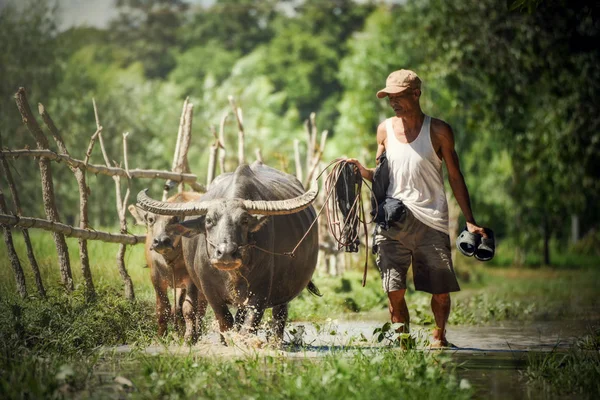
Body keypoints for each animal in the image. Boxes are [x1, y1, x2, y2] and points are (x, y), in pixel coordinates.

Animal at [129, 192, 209, 342]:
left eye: (176, 219)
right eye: (151, 219)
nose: (161, 241)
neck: (170, 260)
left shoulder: (191, 281)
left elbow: (189, 309)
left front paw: (189, 337)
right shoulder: (156, 278)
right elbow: (163, 307)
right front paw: (161, 336)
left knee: (200, 308)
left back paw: (197, 333)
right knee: (176, 308)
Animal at [137, 162, 318, 340]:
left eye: (244, 220)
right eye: (209, 221)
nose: (225, 253)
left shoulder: (260, 292)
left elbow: (249, 327)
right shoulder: (209, 290)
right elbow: (225, 322)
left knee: (279, 316)